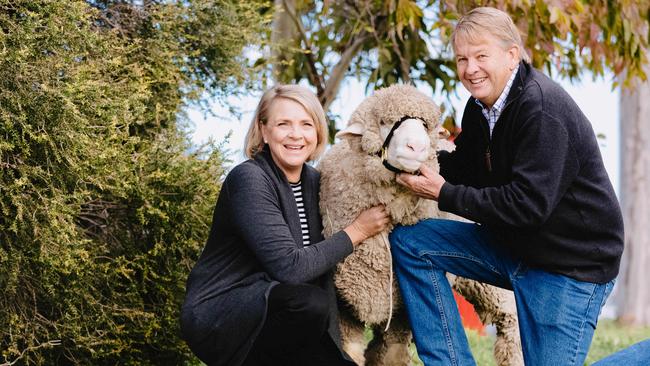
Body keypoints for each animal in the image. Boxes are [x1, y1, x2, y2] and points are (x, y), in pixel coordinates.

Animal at [316, 84, 524, 366]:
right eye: (383, 122)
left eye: (425, 125)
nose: (417, 147)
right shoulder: (344, 308)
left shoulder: (402, 311)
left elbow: (391, 357)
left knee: (510, 317)